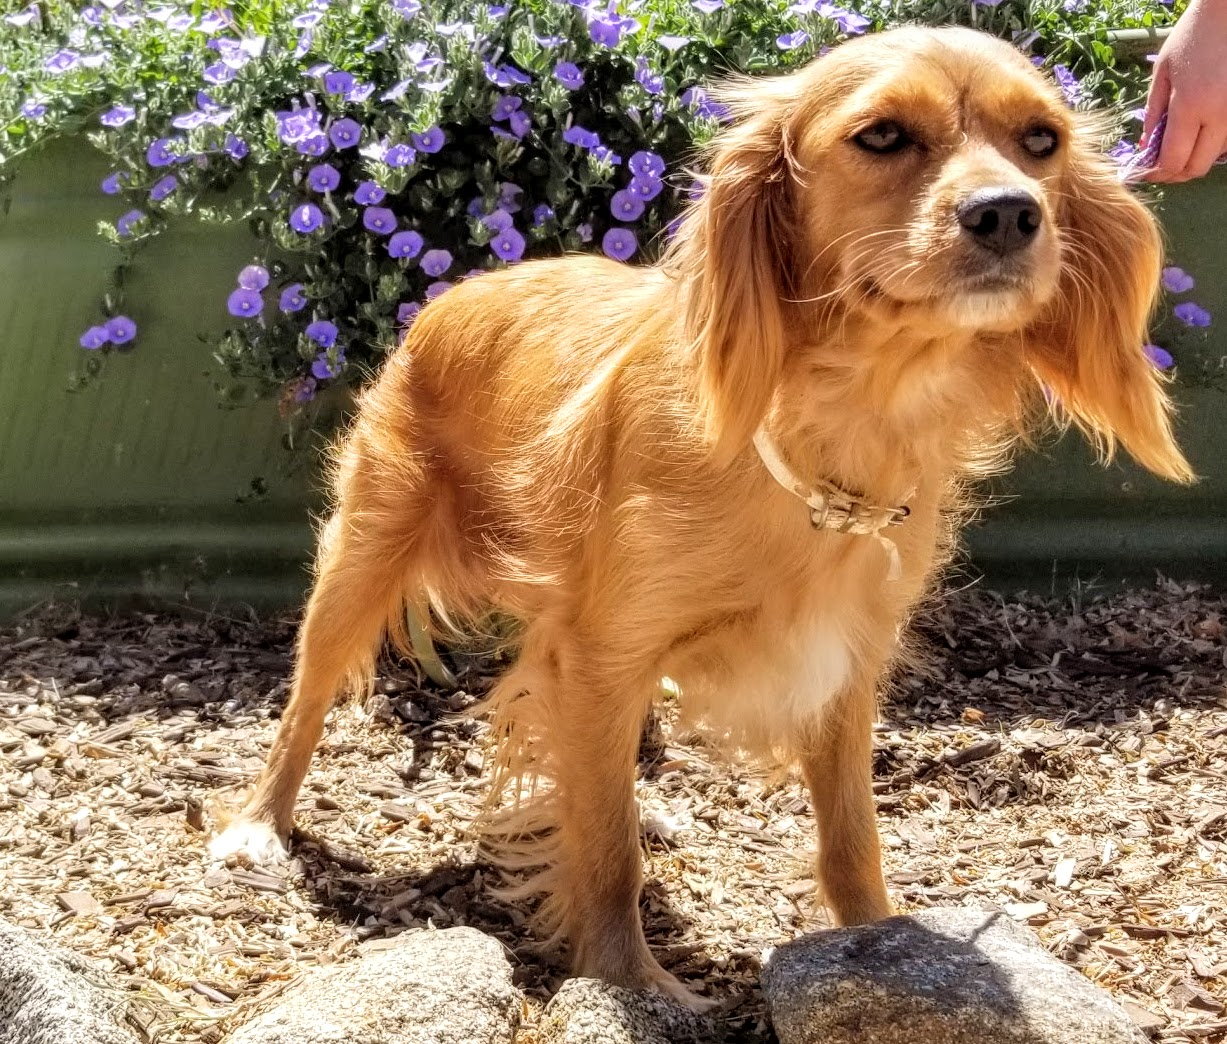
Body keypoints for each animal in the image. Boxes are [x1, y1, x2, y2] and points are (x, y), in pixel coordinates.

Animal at [215, 26, 1192, 1005]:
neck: (836, 427)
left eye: (1041, 141)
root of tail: (461, 289)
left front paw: (882, 941)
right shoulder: (601, 653)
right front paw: (632, 982)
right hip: (362, 556)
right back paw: (260, 822)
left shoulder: (844, 662)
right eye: (880, 135)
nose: (1009, 213)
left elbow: (850, 837)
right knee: (305, 702)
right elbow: (608, 852)